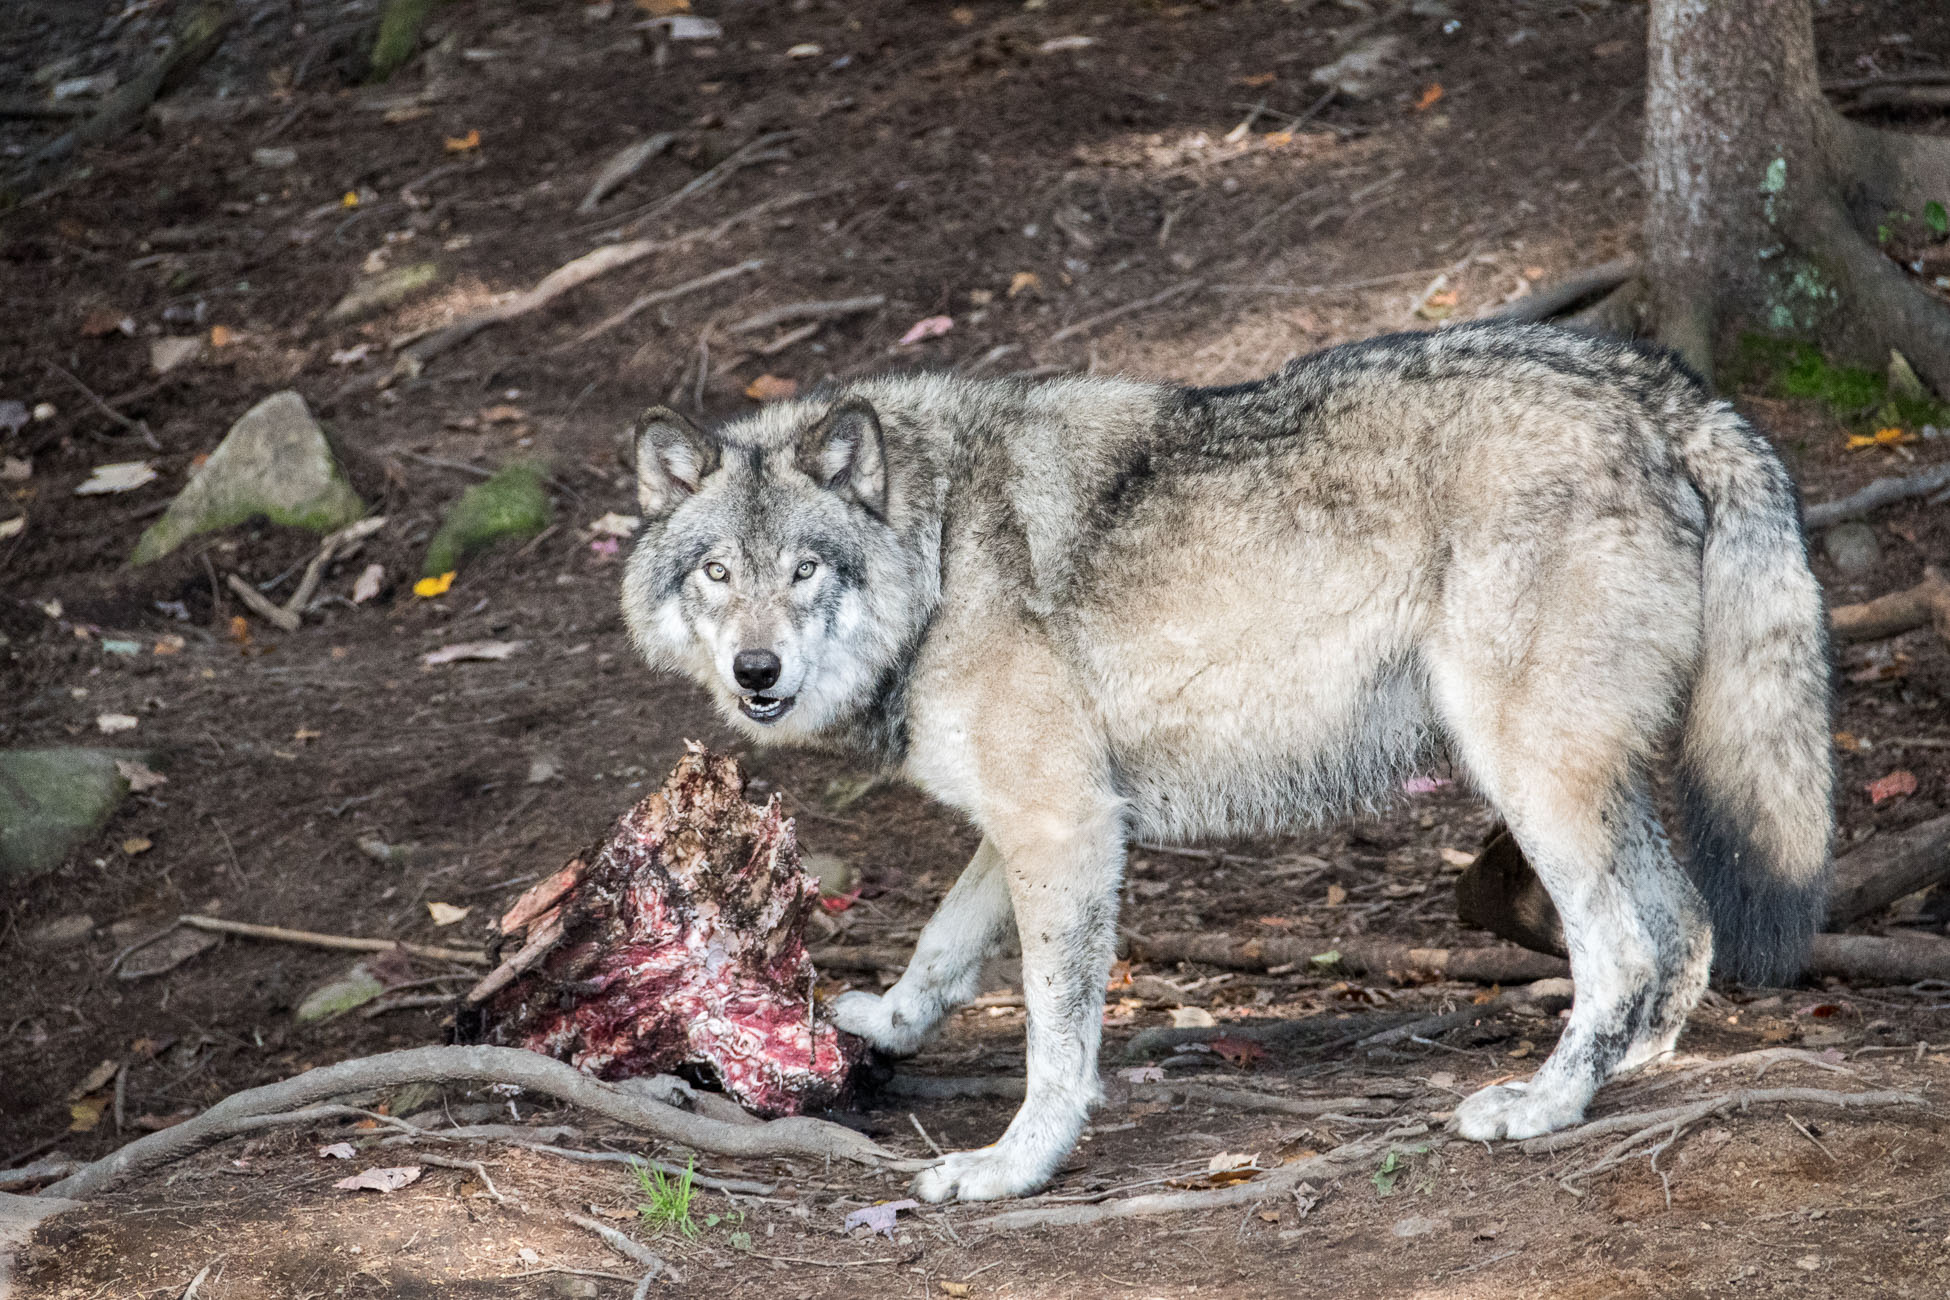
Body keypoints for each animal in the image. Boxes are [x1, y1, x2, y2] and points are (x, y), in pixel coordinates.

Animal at [616, 319, 1833, 1208]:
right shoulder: (1054, 813)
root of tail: (1655, 383)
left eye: (805, 569)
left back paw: (1541, 1105)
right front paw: (887, 1024)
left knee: (1623, 949)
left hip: (1526, 774)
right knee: (1683, 924)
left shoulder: (1062, 821)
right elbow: (945, 939)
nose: (757, 670)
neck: (942, 550)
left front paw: (1015, 1165)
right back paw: (1631, 1065)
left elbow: (1055, 1033)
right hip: (1589, 779)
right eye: (718, 572)